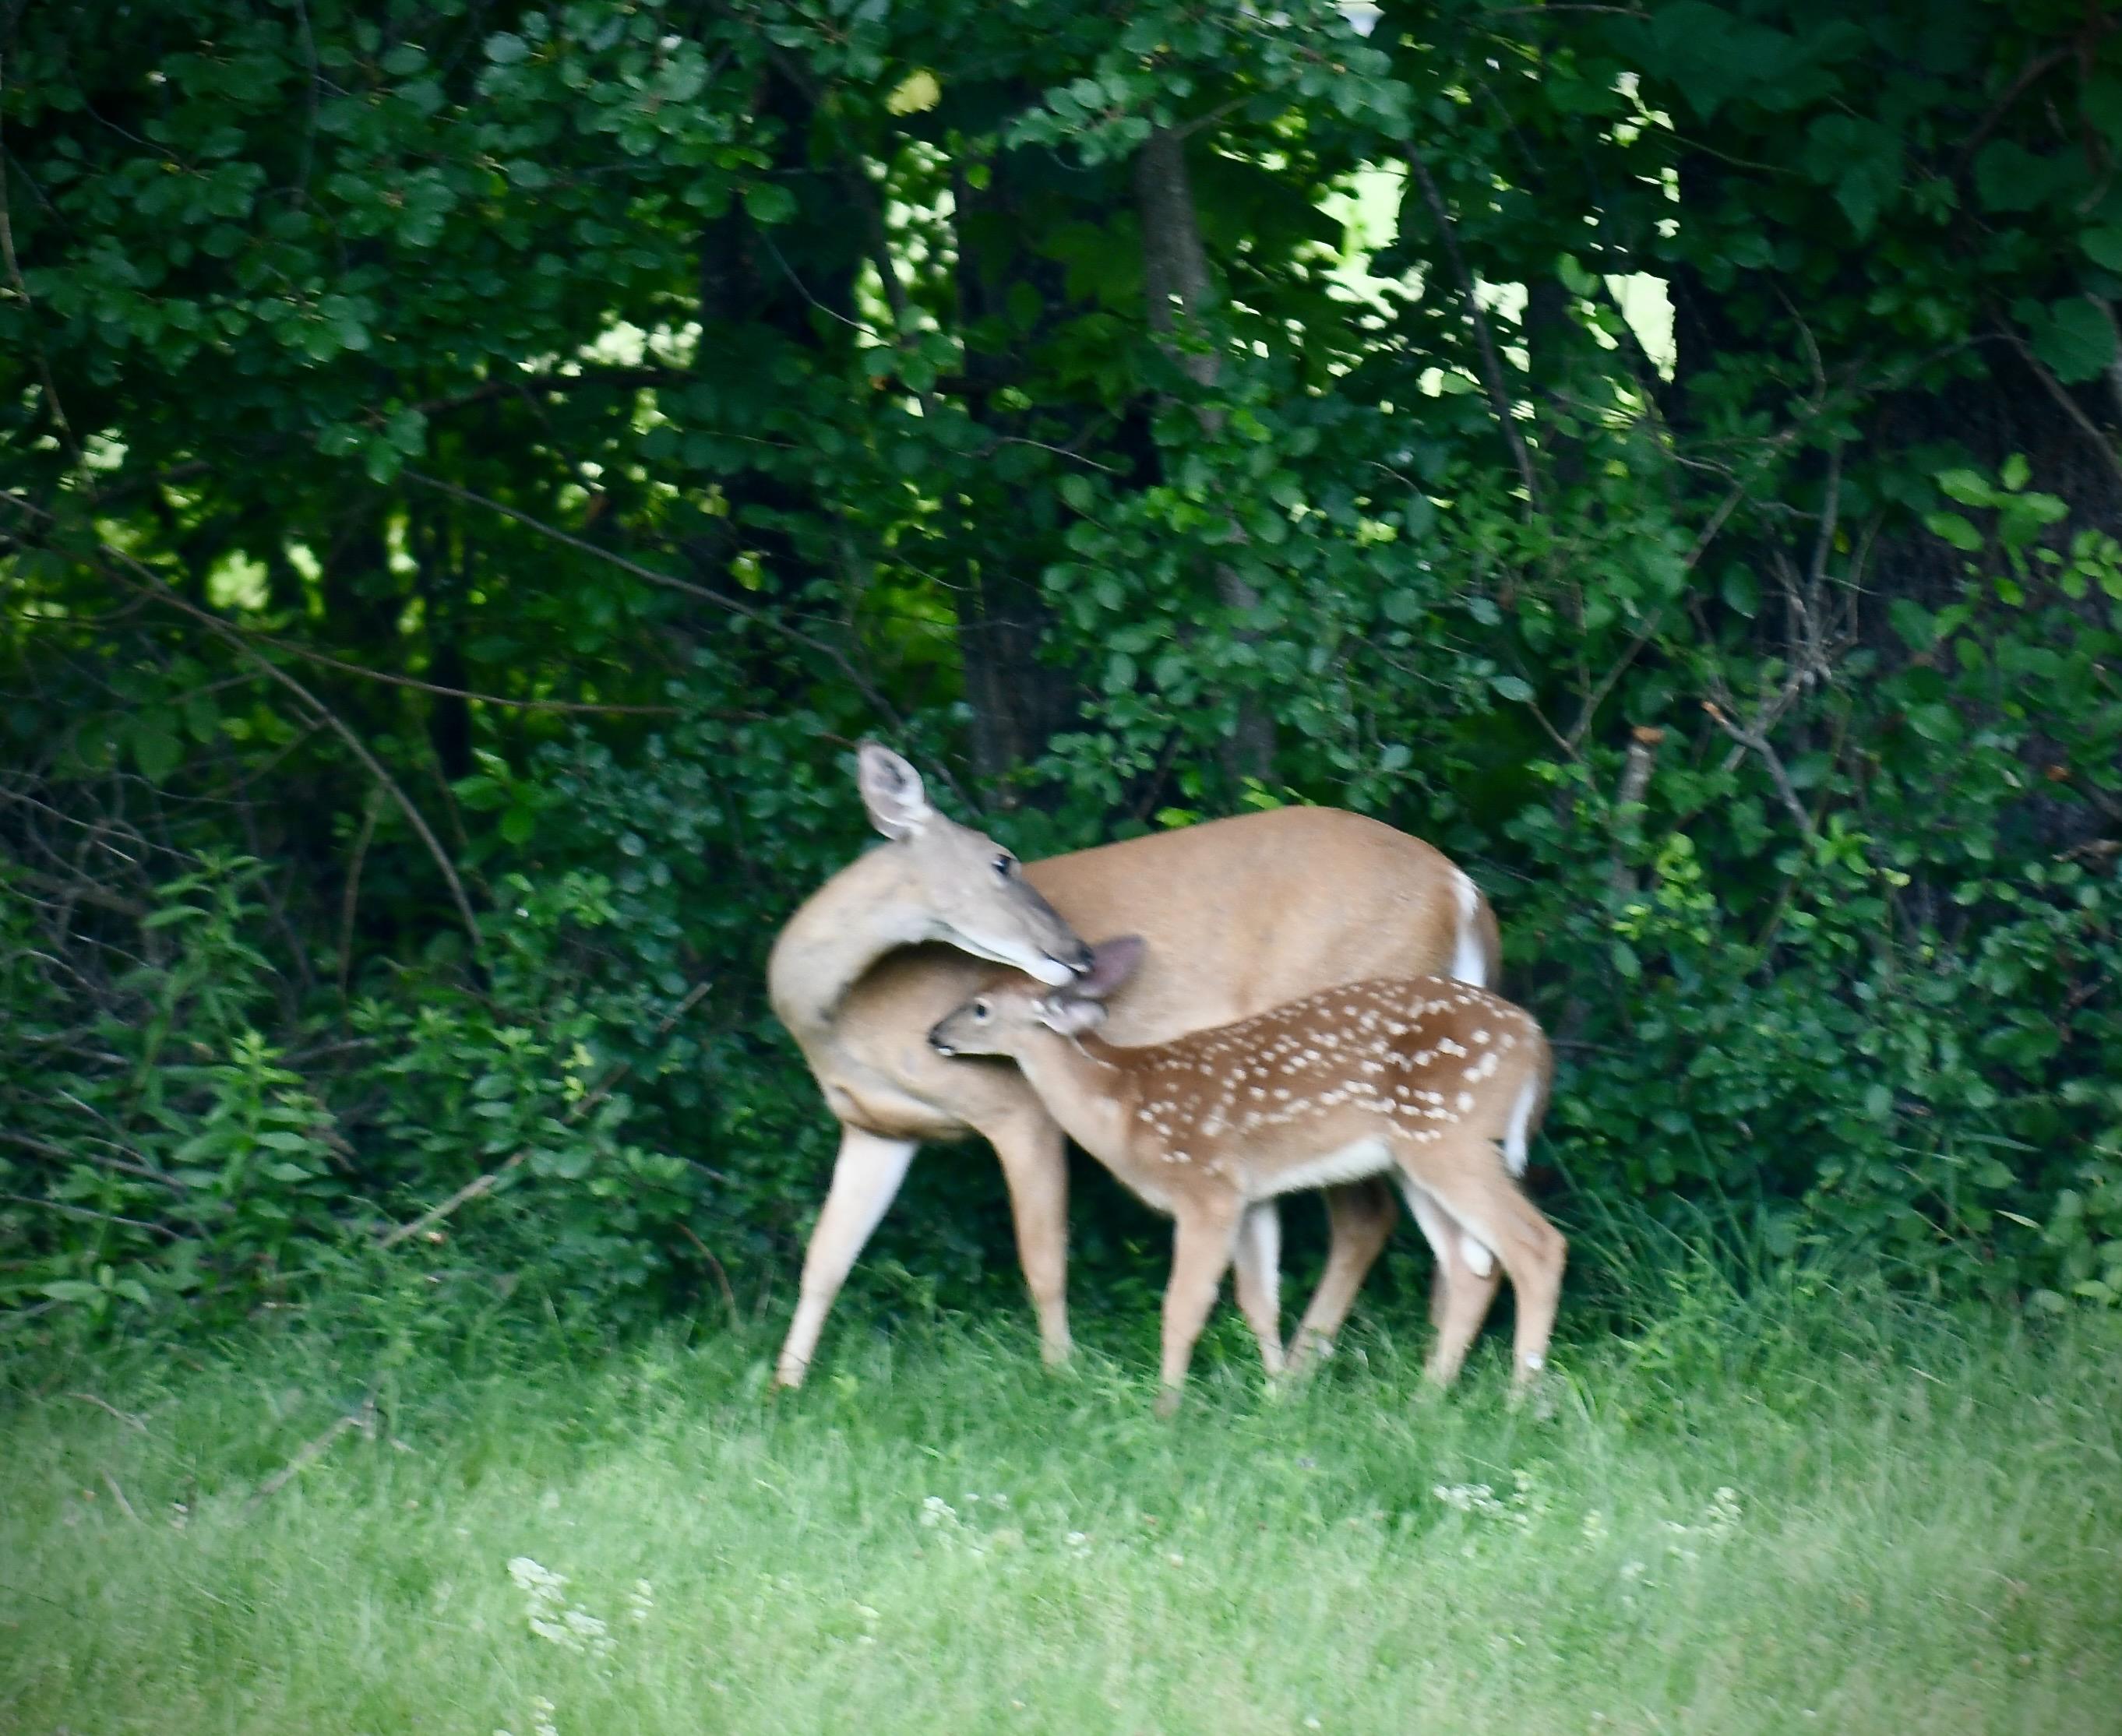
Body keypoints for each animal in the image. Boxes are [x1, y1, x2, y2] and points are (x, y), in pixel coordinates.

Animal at [767, 743, 1502, 1390]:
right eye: (1001, 861)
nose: (1078, 951)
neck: (839, 1018)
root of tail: (1463, 892)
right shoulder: (877, 1126)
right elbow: (825, 1257)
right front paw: (784, 1386)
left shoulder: (1014, 1103)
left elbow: (1042, 1257)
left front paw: (1059, 1375)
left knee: (1371, 1217)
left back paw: (1315, 1372)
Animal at [926, 938, 1564, 1415]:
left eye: (980, 1006)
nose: (935, 1034)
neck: (1124, 1105)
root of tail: (1536, 1041)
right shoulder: (1251, 1195)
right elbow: (1259, 1300)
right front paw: (1279, 1397)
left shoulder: (1205, 1188)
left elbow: (1184, 1304)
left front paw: (1165, 1408)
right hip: (1418, 1156)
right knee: (1470, 1265)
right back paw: (1426, 1399)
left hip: (1449, 1135)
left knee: (1536, 1245)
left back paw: (1519, 1403)